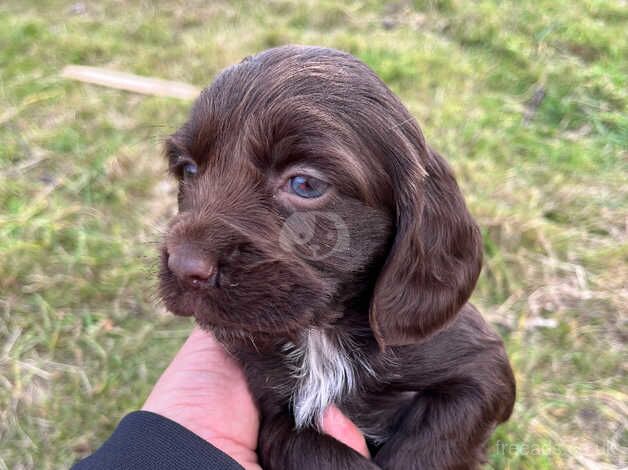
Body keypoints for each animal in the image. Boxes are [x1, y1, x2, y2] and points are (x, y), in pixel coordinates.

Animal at [158, 45, 516, 470]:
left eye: (305, 184)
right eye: (188, 169)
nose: (184, 267)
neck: (322, 335)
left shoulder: (483, 367)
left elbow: (436, 439)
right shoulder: (270, 401)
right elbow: (301, 444)